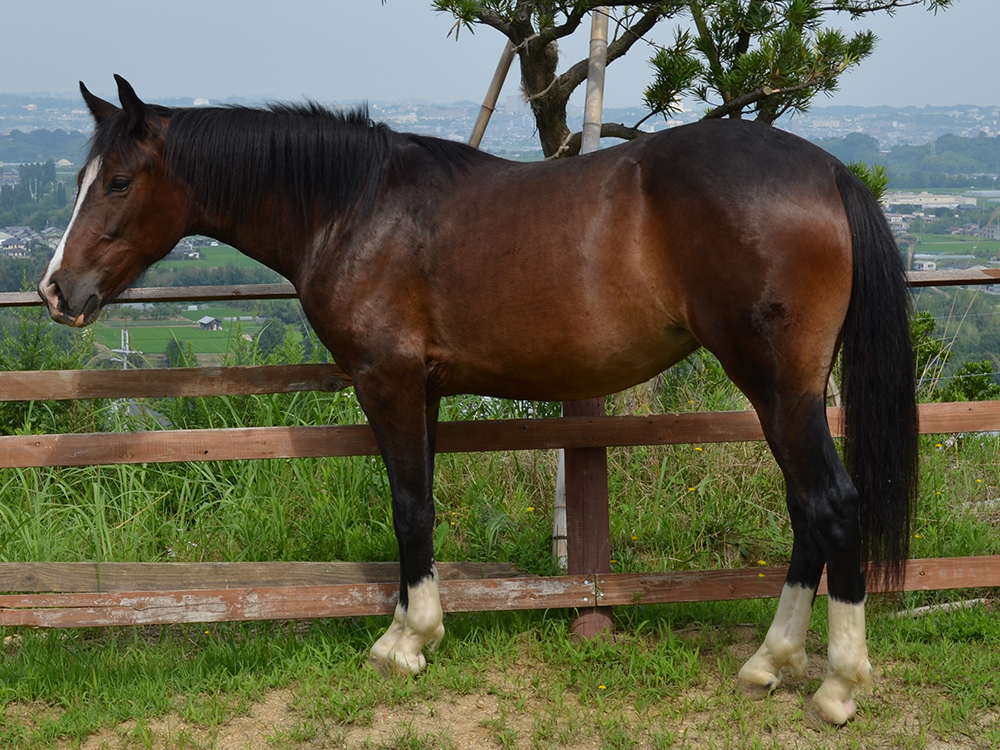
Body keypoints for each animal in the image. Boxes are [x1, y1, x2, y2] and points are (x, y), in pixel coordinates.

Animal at [39, 78, 916, 728]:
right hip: (789, 394)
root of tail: (828, 171)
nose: (56, 291)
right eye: (79, 180)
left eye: (118, 182)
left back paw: (837, 685)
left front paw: (404, 643)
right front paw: (419, 629)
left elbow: (407, 505)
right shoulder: (420, 388)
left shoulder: (387, 380)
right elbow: (422, 500)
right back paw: (768, 664)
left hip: (777, 386)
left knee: (830, 504)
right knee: (805, 509)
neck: (355, 208)